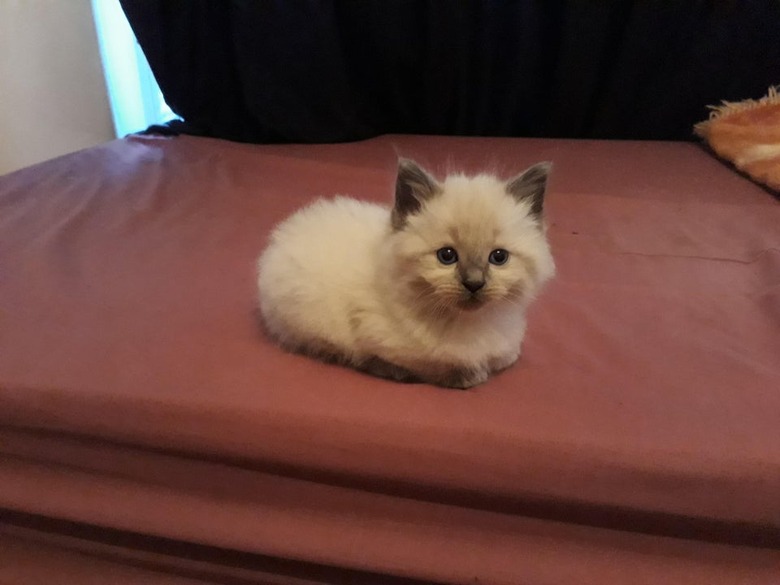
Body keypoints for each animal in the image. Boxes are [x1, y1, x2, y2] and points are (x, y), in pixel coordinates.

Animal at [256, 160, 556, 388]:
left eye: (498, 257)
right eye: (447, 256)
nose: (474, 284)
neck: (468, 324)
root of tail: (286, 230)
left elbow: (506, 357)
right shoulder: (373, 332)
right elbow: (428, 364)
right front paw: (468, 375)